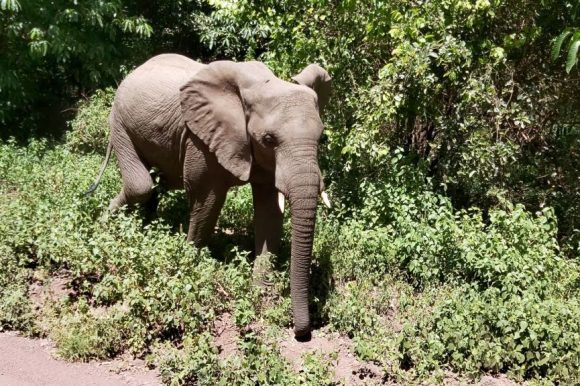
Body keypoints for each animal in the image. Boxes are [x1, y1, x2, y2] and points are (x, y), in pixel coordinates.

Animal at [86, 52, 330, 340]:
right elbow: (207, 199)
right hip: (120, 122)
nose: (302, 333)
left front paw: (259, 293)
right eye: (269, 139)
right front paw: (189, 267)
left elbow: (269, 212)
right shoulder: (200, 138)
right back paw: (103, 227)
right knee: (141, 185)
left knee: (153, 185)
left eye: (322, 139)